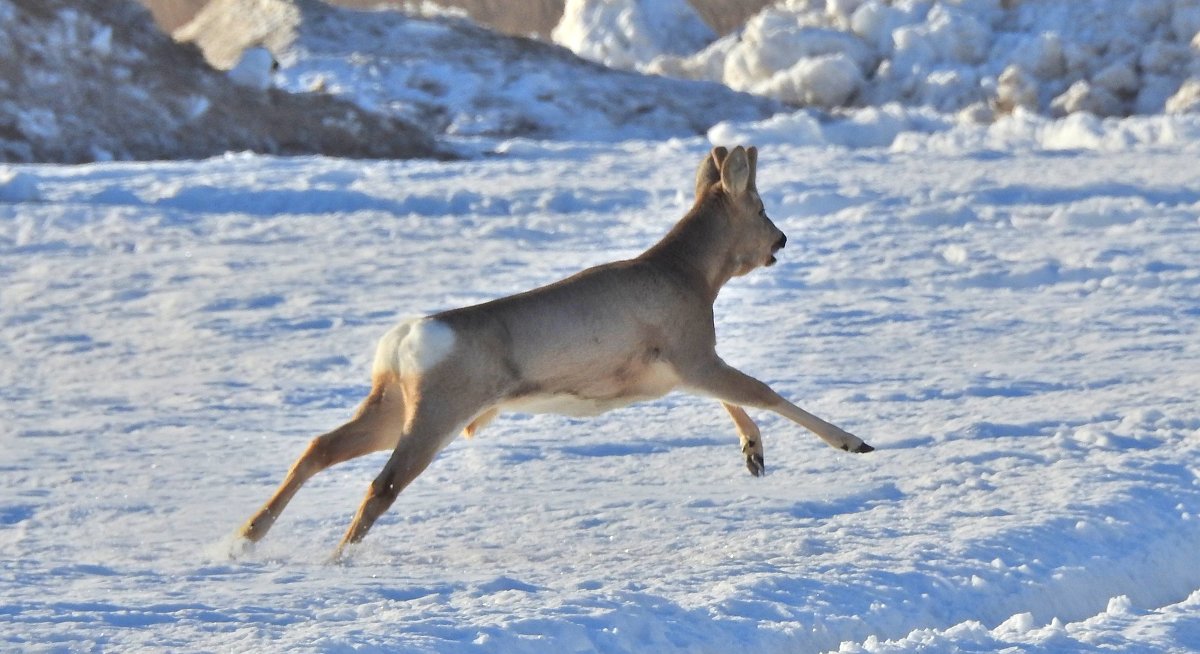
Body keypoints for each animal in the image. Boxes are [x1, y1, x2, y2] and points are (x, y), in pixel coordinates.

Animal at [236, 145, 873, 559]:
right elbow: (764, 392)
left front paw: (754, 455)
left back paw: (245, 539)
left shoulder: (679, 370)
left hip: (393, 405)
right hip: (438, 411)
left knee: (319, 447)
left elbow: (735, 403)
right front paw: (853, 442)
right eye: (761, 206)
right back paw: (334, 561)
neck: (689, 275)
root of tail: (404, 341)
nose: (781, 240)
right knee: (381, 485)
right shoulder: (692, 352)